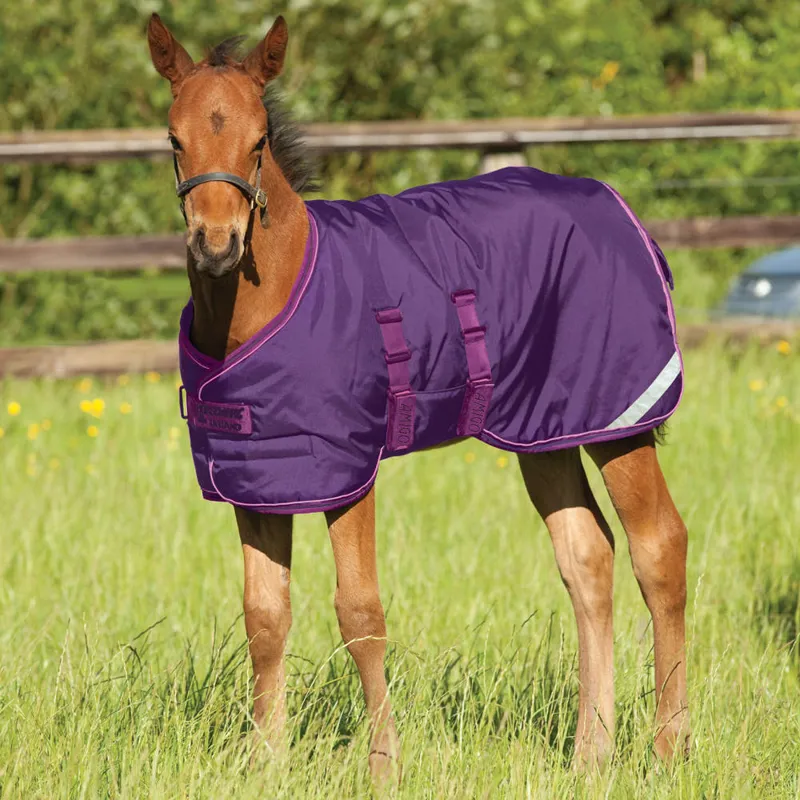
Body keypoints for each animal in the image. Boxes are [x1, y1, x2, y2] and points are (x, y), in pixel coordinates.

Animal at [147, 13, 690, 784]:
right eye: (174, 138)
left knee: (658, 548)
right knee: (588, 556)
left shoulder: (346, 469)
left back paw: (669, 750)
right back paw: (591, 754)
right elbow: (264, 617)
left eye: (258, 140)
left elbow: (360, 614)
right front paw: (264, 765)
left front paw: (383, 766)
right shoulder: (259, 480)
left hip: (619, 419)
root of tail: (623, 211)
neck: (272, 297)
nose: (217, 245)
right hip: (545, 431)